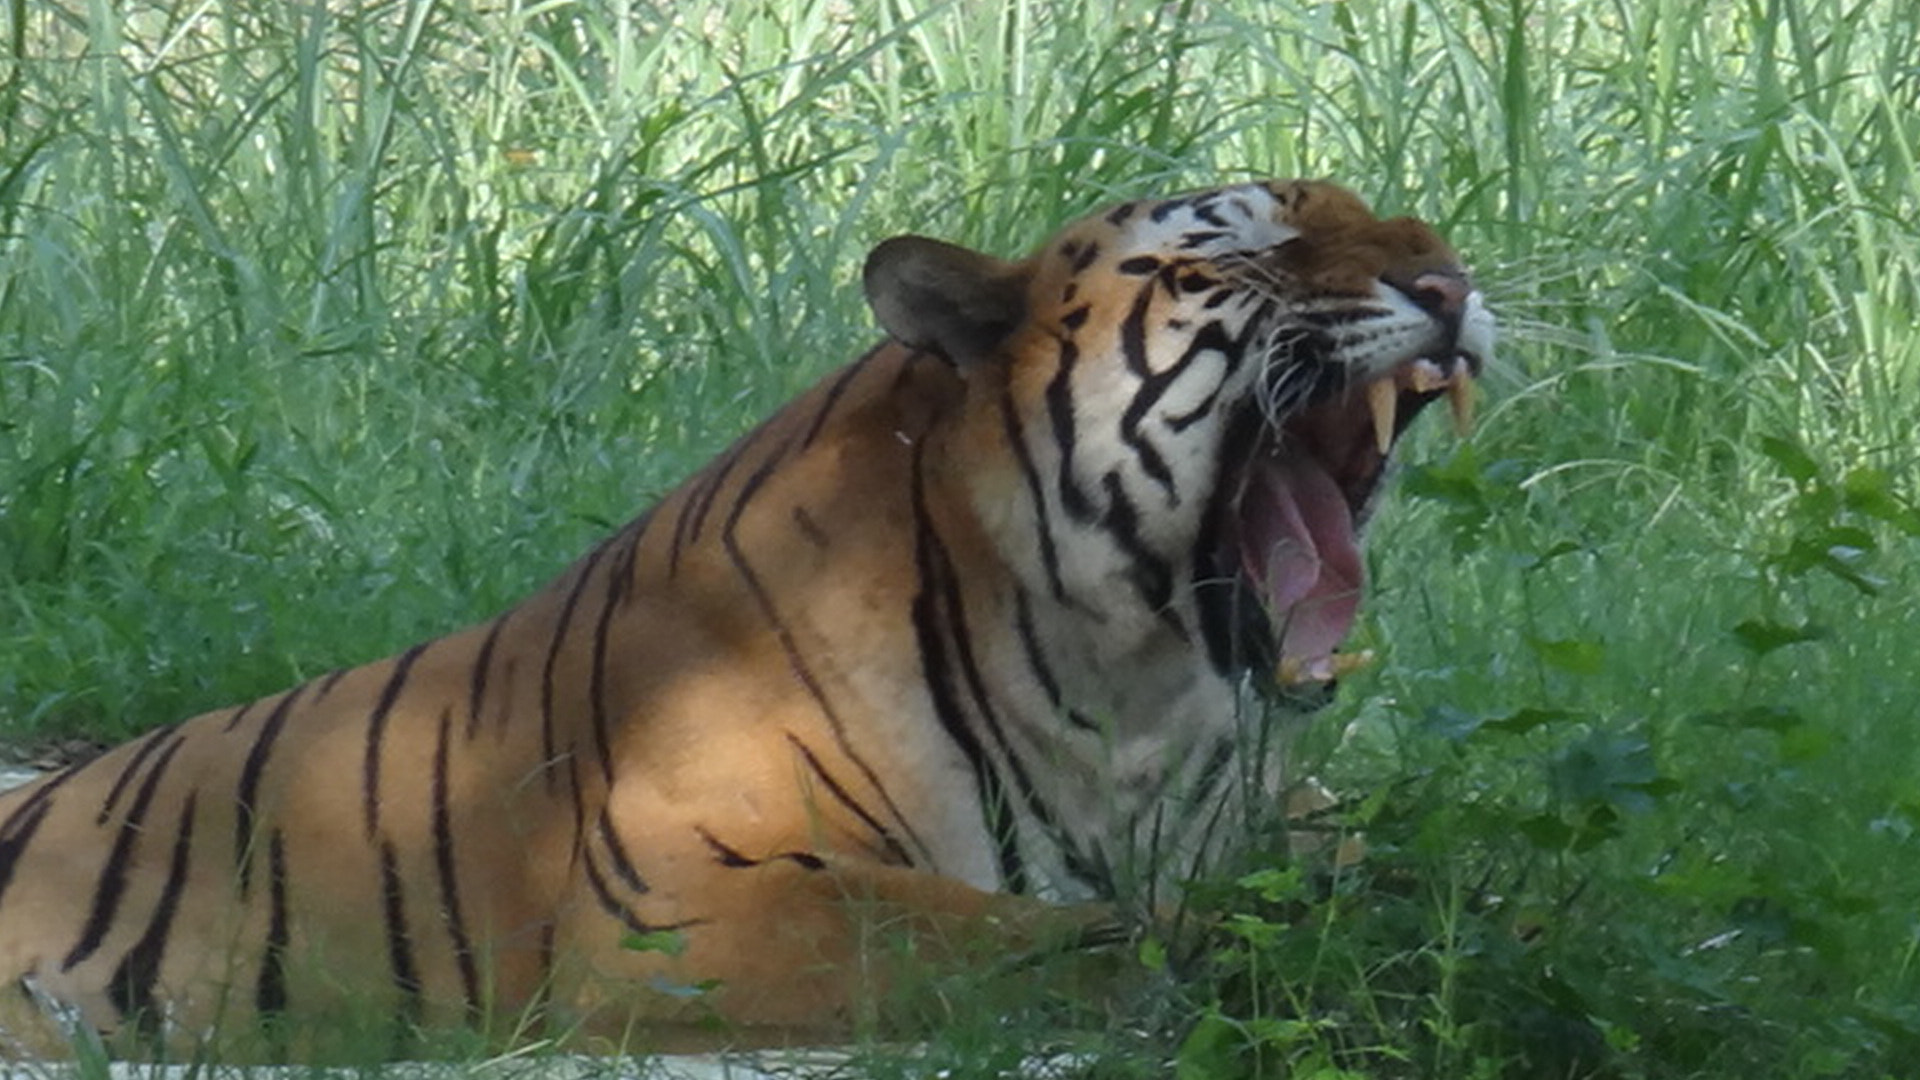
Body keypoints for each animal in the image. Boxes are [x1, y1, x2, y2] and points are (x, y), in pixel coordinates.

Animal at [0, 179, 1492, 1060]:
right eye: (1245, 244)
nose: (1452, 283)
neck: (1130, 686)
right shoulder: (679, 906)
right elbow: (1063, 931)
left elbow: (1429, 873)